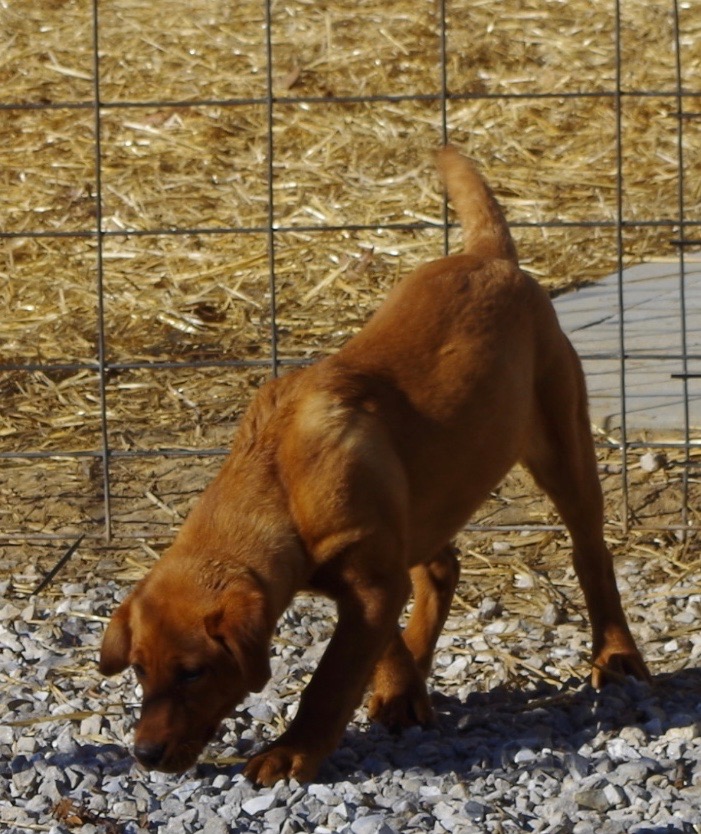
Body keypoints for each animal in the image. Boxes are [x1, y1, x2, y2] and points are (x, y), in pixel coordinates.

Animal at [97, 148, 644, 788]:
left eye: (193, 672)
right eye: (139, 670)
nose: (144, 755)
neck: (277, 481)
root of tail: (491, 257)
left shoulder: (372, 579)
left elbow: (331, 681)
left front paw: (291, 753)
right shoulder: (373, 572)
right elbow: (378, 645)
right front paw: (400, 689)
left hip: (561, 440)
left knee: (590, 552)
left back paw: (616, 656)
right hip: (431, 489)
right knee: (442, 568)